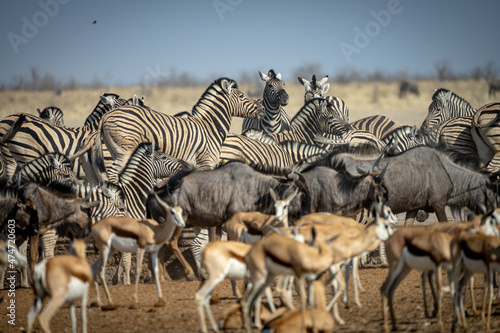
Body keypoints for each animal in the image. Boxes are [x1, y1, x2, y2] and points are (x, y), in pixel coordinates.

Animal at [89, 77, 266, 183]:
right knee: (112, 174)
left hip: (115, 151)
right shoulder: (205, 162)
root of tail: (107, 115)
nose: (263, 108)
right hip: (125, 151)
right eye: (242, 96)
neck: (210, 127)